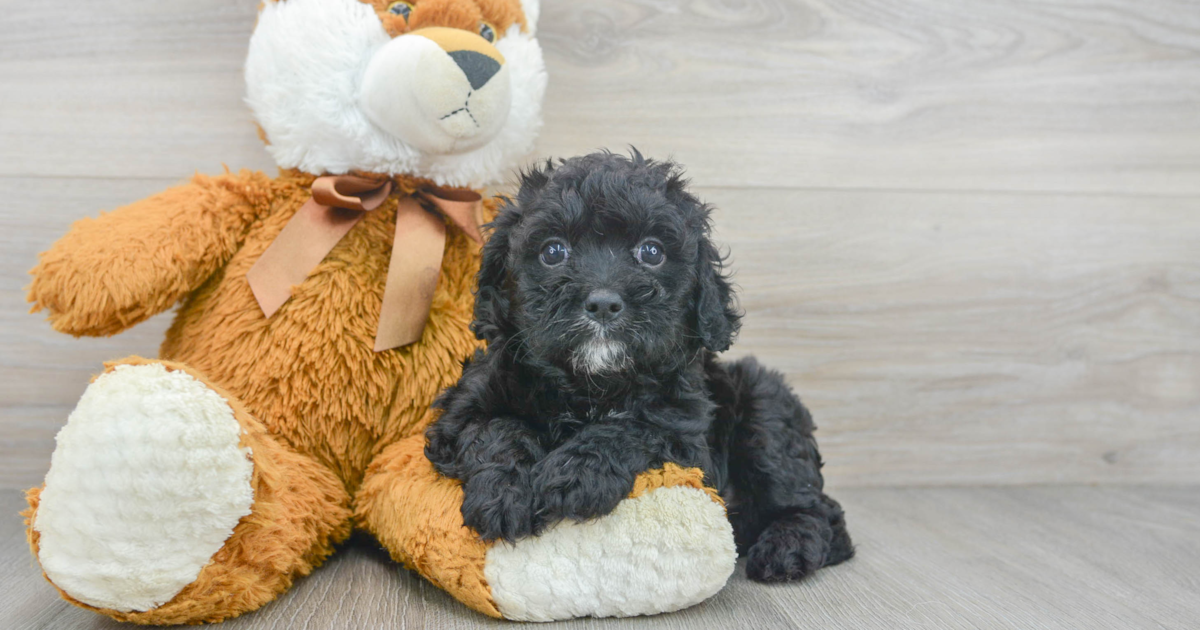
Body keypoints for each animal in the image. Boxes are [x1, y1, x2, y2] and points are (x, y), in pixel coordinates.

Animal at [424, 148, 854, 580]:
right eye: (553, 251)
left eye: (651, 252)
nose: (602, 303)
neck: (592, 384)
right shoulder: (460, 412)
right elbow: (495, 428)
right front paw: (503, 494)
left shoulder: (686, 434)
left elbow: (635, 427)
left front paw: (576, 474)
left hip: (765, 406)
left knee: (815, 505)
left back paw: (787, 547)